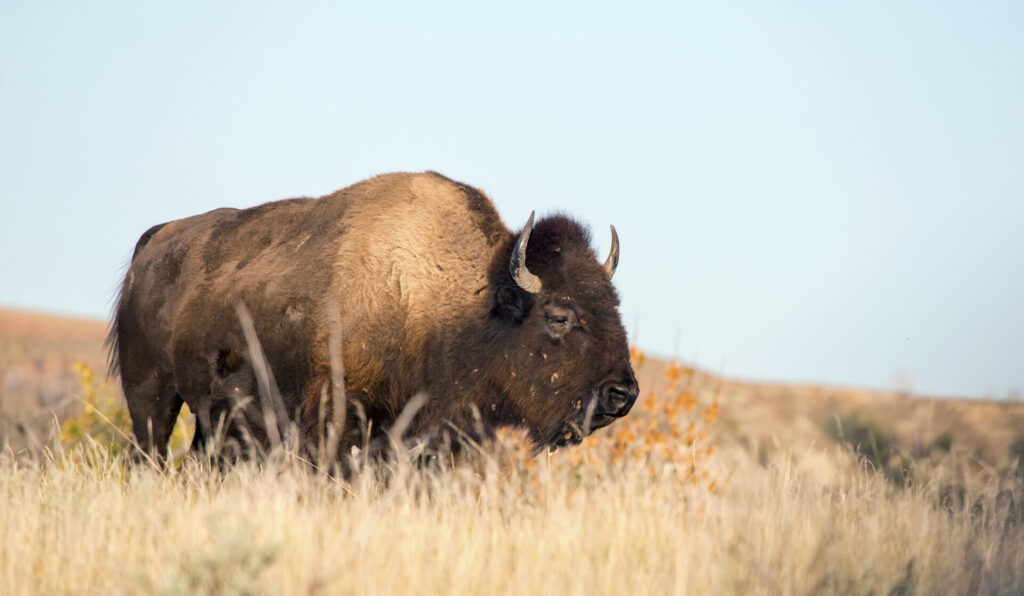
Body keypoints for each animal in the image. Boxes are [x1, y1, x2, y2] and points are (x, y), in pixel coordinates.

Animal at [112, 171, 638, 460]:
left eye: (615, 305)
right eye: (560, 316)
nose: (623, 394)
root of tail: (155, 240)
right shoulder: (338, 419)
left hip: (211, 415)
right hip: (151, 396)